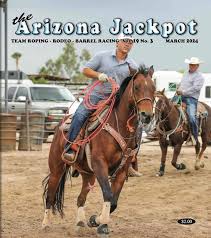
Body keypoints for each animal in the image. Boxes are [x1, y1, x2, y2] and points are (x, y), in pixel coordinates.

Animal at [42, 64, 156, 236]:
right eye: (136, 87)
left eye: (154, 88)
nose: (147, 115)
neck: (119, 124)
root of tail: (61, 123)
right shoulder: (99, 164)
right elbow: (108, 194)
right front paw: (98, 221)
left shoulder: (122, 170)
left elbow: (114, 201)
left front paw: (97, 222)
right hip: (57, 168)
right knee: (50, 195)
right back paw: (45, 223)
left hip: (88, 175)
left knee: (80, 198)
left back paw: (80, 222)